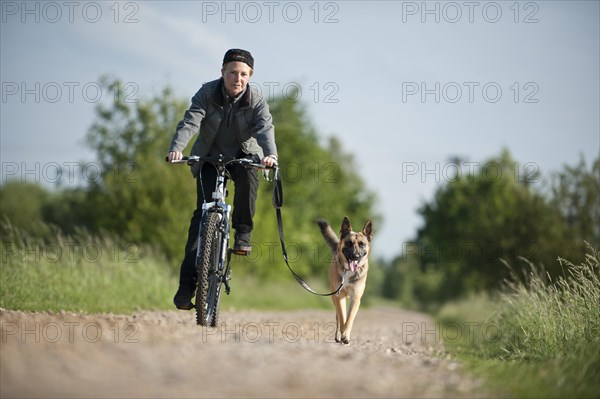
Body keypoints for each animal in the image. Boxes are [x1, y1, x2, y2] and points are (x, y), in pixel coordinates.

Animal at [316, 217, 372, 346]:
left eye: (362, 244)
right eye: (349, 243)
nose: (355, 256)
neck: (348, 271)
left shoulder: (355, 298)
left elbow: (349, 318)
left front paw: (346, 335)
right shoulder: (339, 296)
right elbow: (342, 317)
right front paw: (342, 334)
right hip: (334, 297)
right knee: (338, 315)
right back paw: (338, 335)